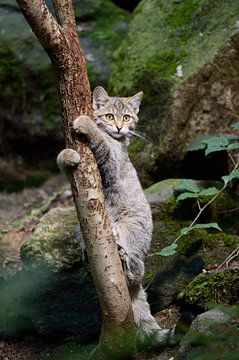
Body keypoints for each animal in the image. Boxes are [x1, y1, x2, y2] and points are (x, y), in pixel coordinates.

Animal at [56, 86, 181, 348]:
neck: (118, 142)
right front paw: (67, 155)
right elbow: (64, 160)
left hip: (134, 236)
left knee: (137, 272)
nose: (120, 128)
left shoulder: (111, 163)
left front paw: (87, 124)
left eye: (126, 117)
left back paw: (125, 259)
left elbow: (101, 141)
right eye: (110, 116)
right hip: (80, 230)